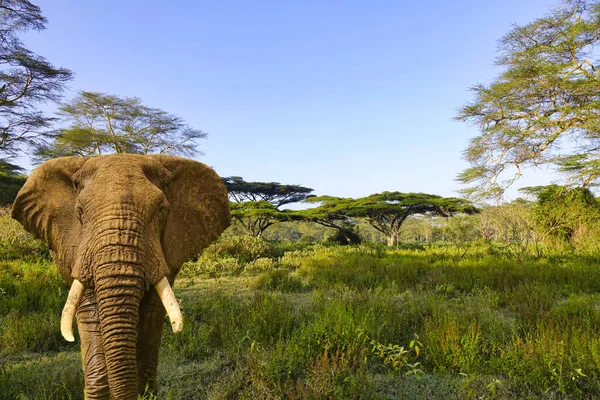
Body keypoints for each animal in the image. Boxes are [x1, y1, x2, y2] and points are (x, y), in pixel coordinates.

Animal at [12, 154, 232, 400]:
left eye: (161, 210)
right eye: (80, 212)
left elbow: (151, 315)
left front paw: (145, 391)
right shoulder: (77, 251)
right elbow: (90, 314)